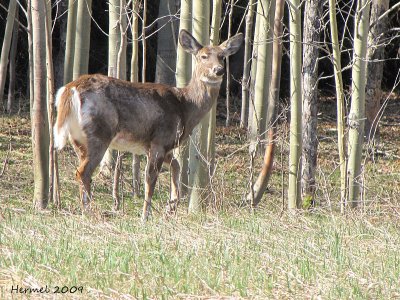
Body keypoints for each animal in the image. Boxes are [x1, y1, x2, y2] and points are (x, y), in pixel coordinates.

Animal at [52, 29, 242, 219]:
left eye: (222, 56)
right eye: (203, 56)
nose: (218, 70)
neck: (185, 106)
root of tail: (69, 90)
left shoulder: (157, 145)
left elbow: (176, 165)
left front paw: (171, 205)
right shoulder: (160, 139)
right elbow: (150, 178)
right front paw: (146, 215)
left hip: (78, 138)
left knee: (83, 171)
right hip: (99, 131)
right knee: (82, 172)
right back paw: (89, 212)